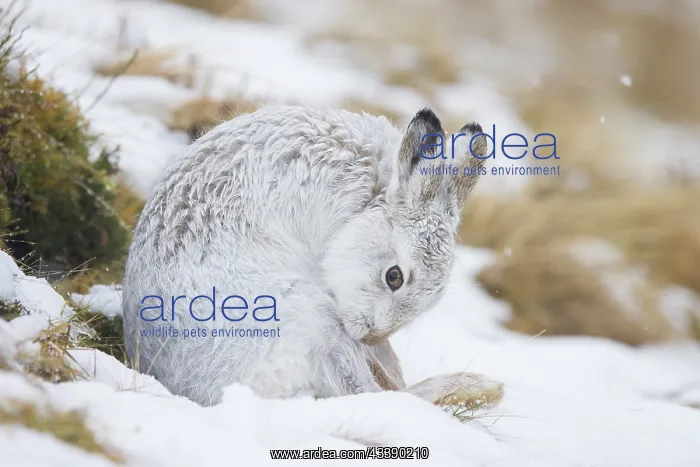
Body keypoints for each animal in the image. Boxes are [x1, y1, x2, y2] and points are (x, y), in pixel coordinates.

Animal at [122, 105, 490, 407]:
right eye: (394, 277)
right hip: (310, 318)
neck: (365, 202)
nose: (370, 337)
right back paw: (478, 388)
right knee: (363, 394)